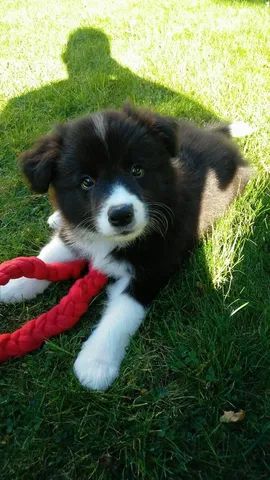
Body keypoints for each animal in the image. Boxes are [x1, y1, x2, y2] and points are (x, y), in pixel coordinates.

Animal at [0, 105, 252, 390]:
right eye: (86, 182)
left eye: (137, 170)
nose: (121, 215)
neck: (112, 241)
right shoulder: (76, 234)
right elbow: (49, 256)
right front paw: (16, 284)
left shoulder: (152, 268)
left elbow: (121, 313)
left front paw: (95, 362)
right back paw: (56, 218)